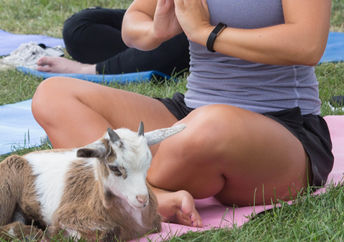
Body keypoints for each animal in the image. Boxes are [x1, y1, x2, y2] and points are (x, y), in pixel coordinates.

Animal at [0, 122, 185, 241]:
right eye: (115, 168)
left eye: (148, 164)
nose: (142, 199)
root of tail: (24, 157)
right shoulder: (69, 217)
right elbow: (105, 233)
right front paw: (52, 232)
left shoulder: (155, 224)